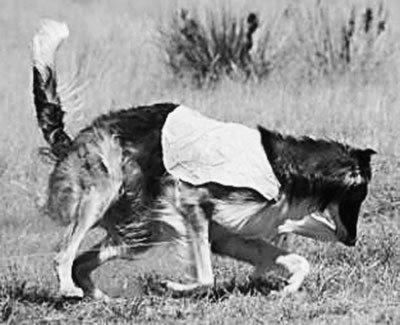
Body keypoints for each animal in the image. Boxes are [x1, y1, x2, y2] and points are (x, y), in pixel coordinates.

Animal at [31, 20, 376, 298]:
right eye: (357, 198)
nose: (352, 240)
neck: (283, 167)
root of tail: (75, 136)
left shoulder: (228, 234)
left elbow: (298, 262)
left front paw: (286, 289)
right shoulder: (192, 203)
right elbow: (207, 277)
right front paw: (174, 286)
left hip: (138, 231)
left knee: (81, 262)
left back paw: (100, 298)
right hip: (103, 193)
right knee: (64, 254)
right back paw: (68, 290)